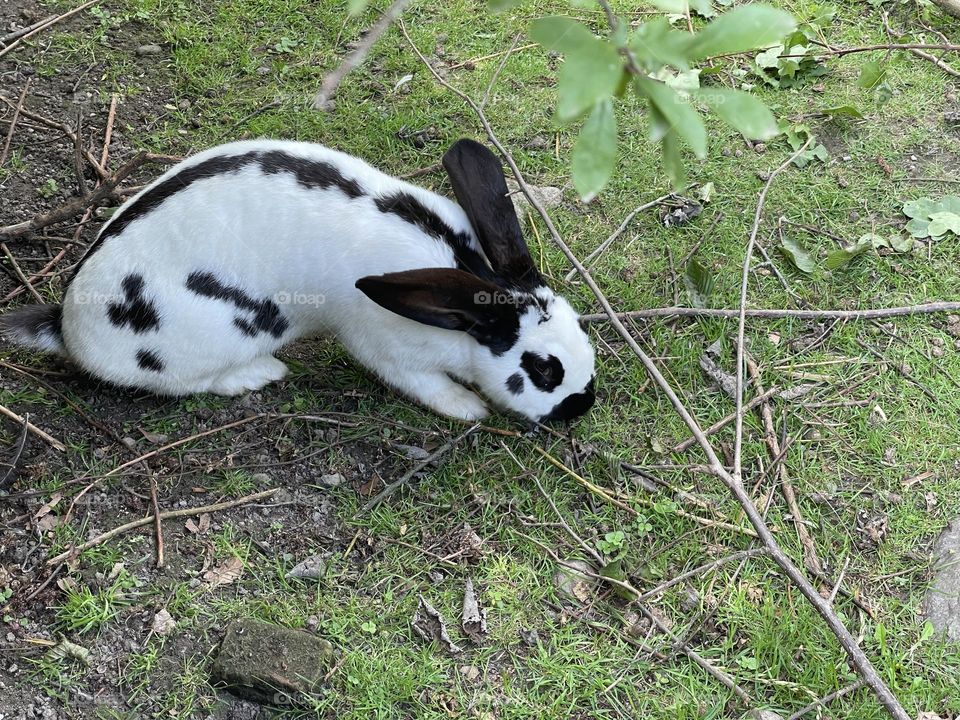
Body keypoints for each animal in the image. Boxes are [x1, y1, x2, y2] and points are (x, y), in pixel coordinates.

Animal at [1, 136, 592, 422]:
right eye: (542, 370)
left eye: (583, 333)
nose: (580, 408)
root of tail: (68, 326)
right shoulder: (384, 345)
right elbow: (424, 384)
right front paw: (468, 408)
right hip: (207, 339)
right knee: (180, 383)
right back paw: (260, 373)